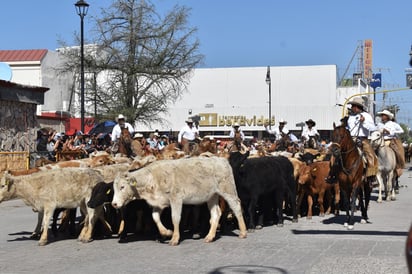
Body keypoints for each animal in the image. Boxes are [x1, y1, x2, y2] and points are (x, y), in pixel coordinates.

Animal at [111, 156, 246, 246]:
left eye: (122, 187)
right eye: (114, 188)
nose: (114, 203)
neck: (152, 177)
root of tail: (221, 159)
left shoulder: (176, 199)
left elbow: (175, 218)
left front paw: (175, 238)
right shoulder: (159, 203)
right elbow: (155, 217)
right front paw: (166, 232)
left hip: (228, 190)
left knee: (236, 206)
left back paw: (243, 232)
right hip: (212, 196)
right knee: (216, 214)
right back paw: (209, 236)